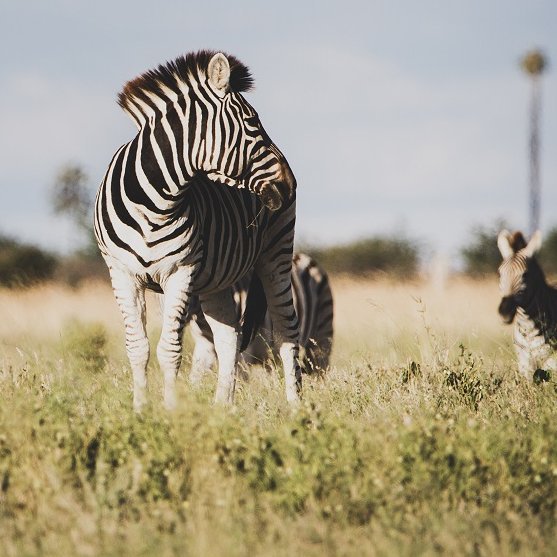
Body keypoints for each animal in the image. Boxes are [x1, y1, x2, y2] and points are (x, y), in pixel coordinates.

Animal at [96, 50, 304, 410]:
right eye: (253, 122)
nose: (290, 185)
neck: (153, 202)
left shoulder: (180, 271)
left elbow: (170, 350)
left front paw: (170, 412)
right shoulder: (122, 273)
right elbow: (137, 348)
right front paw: (140, 411)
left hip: (275, 254)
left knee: (285, 333)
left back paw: (296, 408)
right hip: (216, 279)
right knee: (229, 336)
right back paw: (223, 408)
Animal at [187, 252, 334, 382]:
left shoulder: (243, 350)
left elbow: (240, 380)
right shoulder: (204, 345)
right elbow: (195, 380)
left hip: (321, 336)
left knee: (320, 370)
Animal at [496, 228, 556, 380]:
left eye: (525, 274)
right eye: (500, 274)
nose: (504, 312)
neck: (528, 327)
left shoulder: (552, 363)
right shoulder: (525, 365)